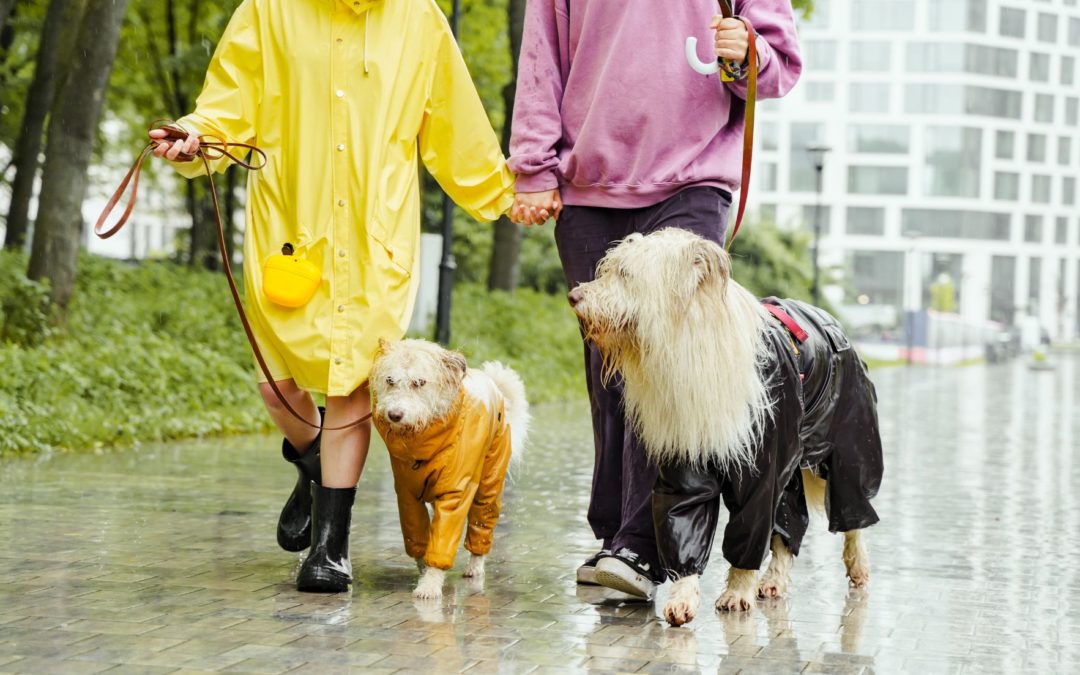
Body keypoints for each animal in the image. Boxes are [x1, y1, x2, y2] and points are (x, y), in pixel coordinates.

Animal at [369, 339, 529, 596]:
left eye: (419, 382)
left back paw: (475, 565)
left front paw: (430, 584)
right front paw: (426, 571)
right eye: (390, 380)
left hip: (489, 485)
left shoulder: (455, 493)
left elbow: (444, 537)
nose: (394, 415)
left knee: (481, 525)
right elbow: (419, 537)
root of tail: (492, 382)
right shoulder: (407, 496)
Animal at [570, 228, 881, 622]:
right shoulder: (684, 453)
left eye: (625, 274)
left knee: (852, 509)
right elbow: (682, 517)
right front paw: (683, 596)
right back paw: (774, 580)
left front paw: (736, 591)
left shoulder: (762, 464)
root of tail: (830, 318)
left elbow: (749, 528)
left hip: (850, 439)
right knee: (790, 521)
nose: (574, 296)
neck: (689, 343)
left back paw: (858, 564)